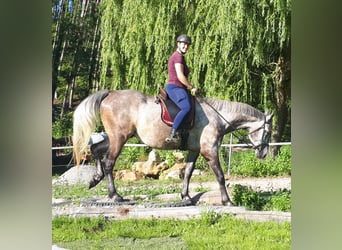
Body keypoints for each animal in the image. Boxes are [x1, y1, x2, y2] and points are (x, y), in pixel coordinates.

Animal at [72, 90, 272, 205]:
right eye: (268, 132)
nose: (263, 154)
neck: (218, 117)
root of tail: (110, 94)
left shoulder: (194, 150)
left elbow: (188, 173)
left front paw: (186, 197)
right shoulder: (210, 151)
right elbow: (220, 176)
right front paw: (227, 201)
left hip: (116, 138)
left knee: (96, 149)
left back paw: (95, 179)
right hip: (119, 138)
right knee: (109, 162)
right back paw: (115, 196)